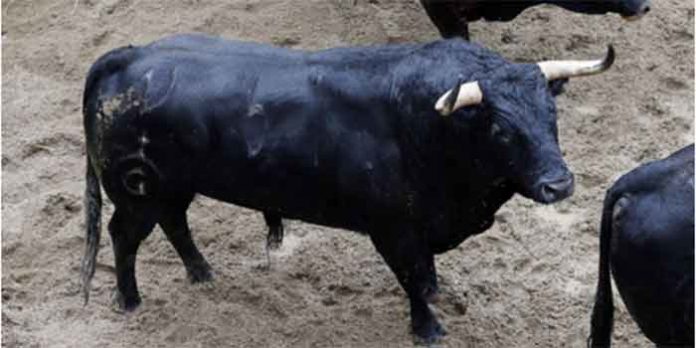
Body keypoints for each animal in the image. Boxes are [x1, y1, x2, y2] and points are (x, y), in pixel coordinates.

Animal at [81, 34, 612, 344]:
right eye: (500, 128)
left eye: (551, 113)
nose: (559, 184)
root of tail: (126, 57)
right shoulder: (393, 230)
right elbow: (413, 280)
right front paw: (427, 329)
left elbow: (427, 275)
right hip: (138, 191)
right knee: (124, 236)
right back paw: (129, 300)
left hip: (172, 189)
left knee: (175, 223)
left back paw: (202, 272)